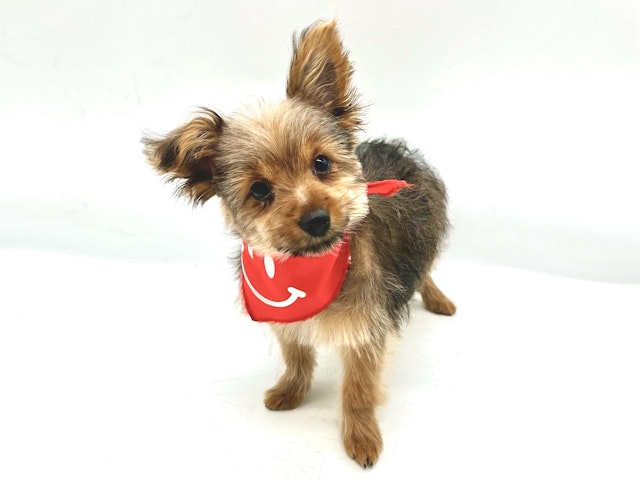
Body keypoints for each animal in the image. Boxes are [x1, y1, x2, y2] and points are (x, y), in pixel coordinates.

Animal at [143, 19, 456, 468]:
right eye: (259, 190)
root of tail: (390, 145)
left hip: (426, 233)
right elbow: (297, 358)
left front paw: (361, 437)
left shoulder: (365, 331)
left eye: (321, 163)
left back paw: (438, 300)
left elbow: (358, 390)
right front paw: (291, 391)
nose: (316, 218)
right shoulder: (285, 324)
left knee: (426, 269)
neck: (308, 267)